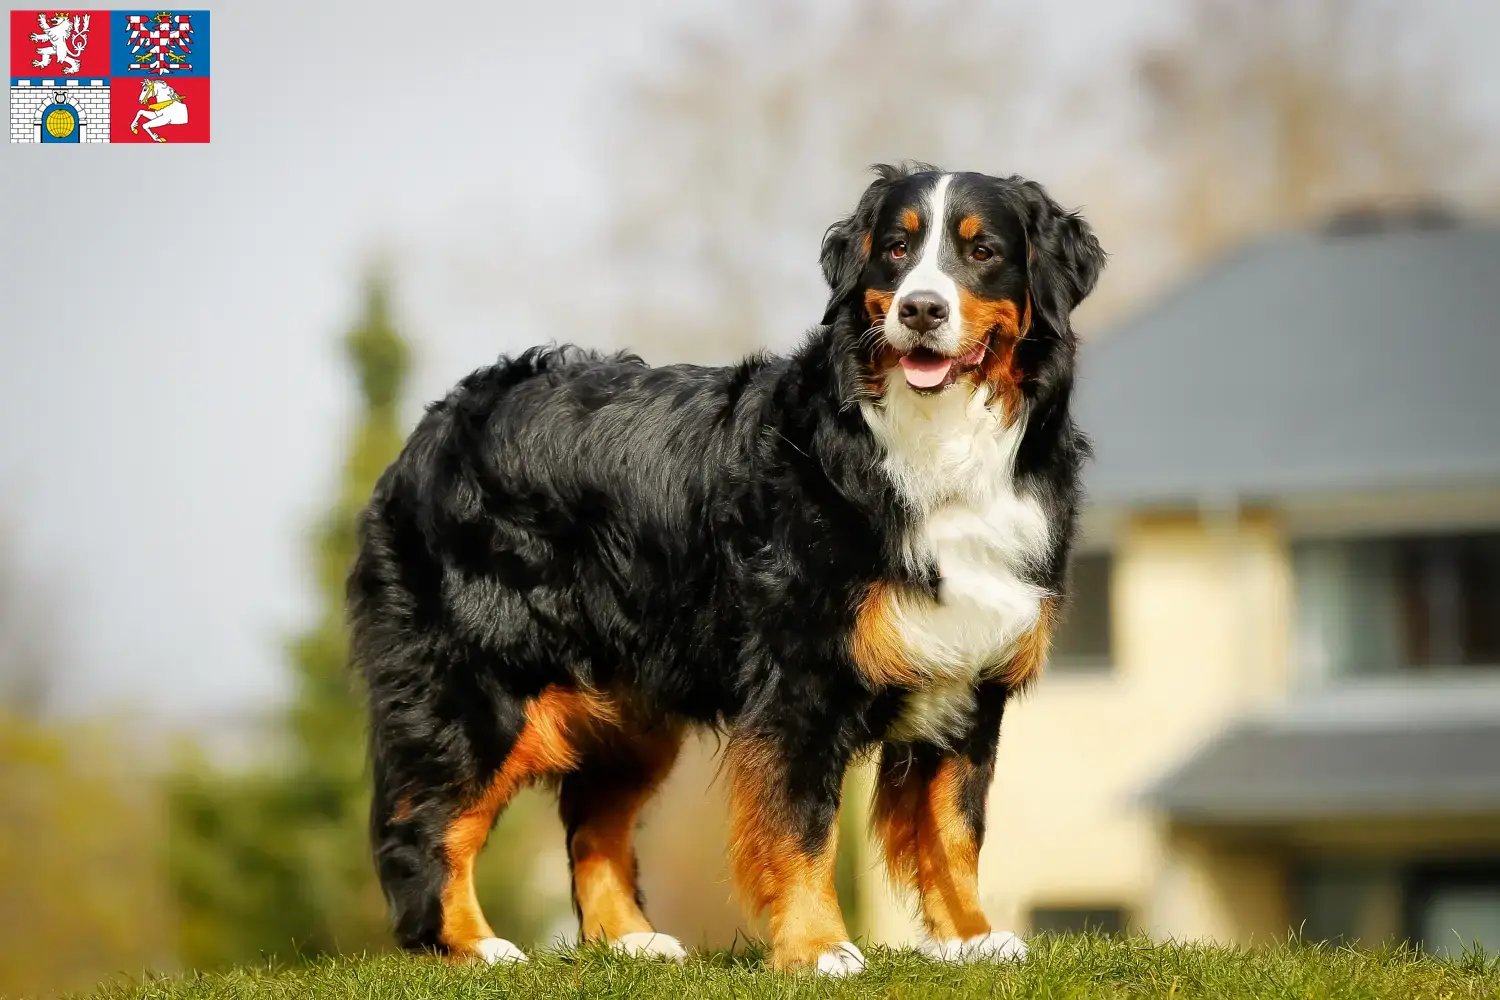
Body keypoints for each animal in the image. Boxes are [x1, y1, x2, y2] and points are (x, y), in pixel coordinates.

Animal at [348, 164, 1104, 977]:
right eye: (897, 249)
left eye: (983, 250)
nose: (922, 309)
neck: (933, 446)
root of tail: (439, 421)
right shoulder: (800, 680)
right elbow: (802, 824)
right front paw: (818, 947)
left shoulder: (968, 678)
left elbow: (956, 828)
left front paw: (970, 938)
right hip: (480, 685)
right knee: (426, 823)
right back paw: (470, 945)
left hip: (631, 706)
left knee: (593, 823)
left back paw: (631, 940)